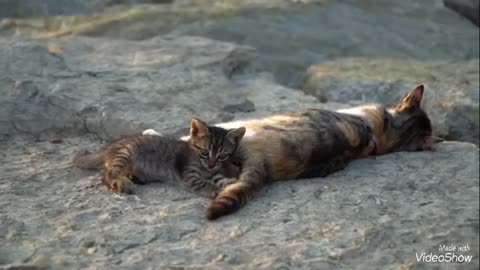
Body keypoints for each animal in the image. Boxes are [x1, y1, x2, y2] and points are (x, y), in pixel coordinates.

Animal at [73, 118, 246, 198]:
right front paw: (218, 190)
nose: (211, 164)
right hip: (125, 154)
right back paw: (121, 183)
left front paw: (231, 182)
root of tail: (110, 146)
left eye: (222, 155)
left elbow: (221, 178)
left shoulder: (215, 172)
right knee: (107, 175)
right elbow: (204, 183)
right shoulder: (189, 175)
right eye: (204, 151)